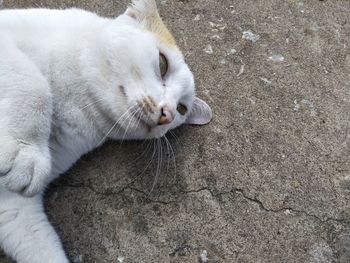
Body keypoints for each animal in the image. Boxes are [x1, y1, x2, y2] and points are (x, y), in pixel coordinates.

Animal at [0, 0, 212, 262]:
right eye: (163, 64)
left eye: (182, 109)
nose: (168, 114)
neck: (77, 103)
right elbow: (34, 85)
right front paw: (26, 153)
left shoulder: (13, 207)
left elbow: (40, 245)